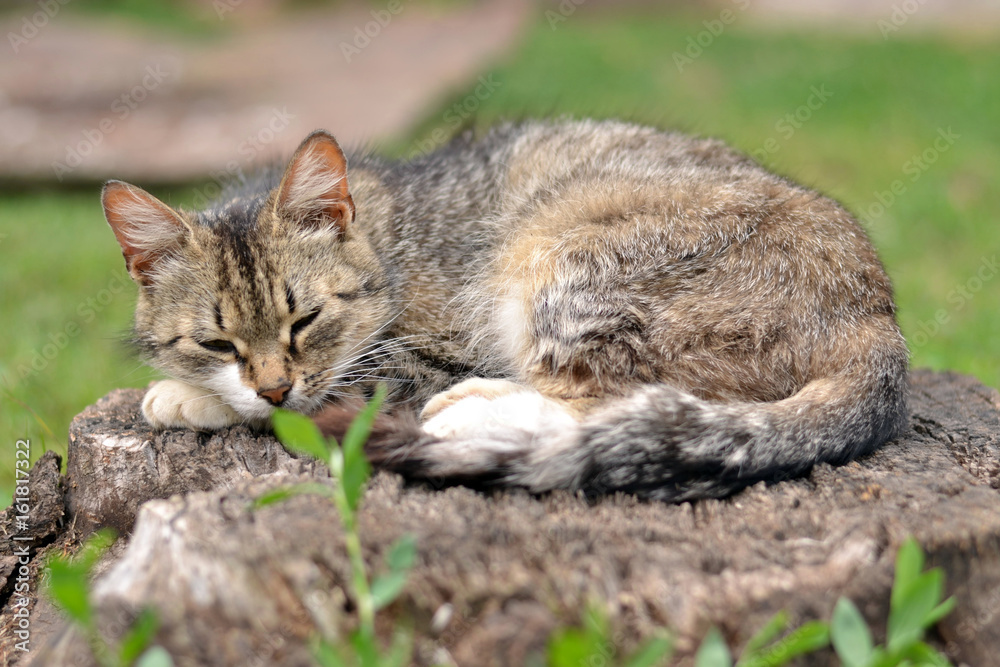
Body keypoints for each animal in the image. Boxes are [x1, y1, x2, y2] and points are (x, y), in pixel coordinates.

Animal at [103, 118, 916, 500]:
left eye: (304, 321)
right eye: (217, 342)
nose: (271, 383)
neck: (389, 238)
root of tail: (878, 319)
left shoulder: (426, 348)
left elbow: (336, 387)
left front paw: (192, 399)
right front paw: (199, 389)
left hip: (562, 259)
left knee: (614, 401)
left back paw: (475, 411)